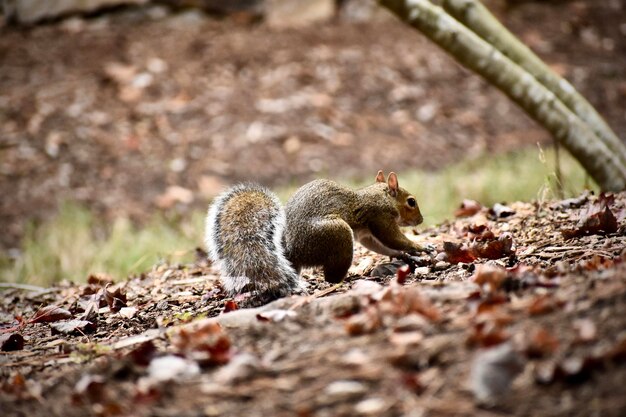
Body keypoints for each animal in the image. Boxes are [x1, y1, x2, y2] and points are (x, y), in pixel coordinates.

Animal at [205, 169, 424, 302]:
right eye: (411, 202)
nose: (421, 220)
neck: (380, 194)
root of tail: (290, 251)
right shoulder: (380, 216)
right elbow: (392, 238)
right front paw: (419, 247)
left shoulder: (368, 234)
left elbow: (380, 245)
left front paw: (405, 255)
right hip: (337, 233)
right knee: (331, 277)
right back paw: (346, 279)